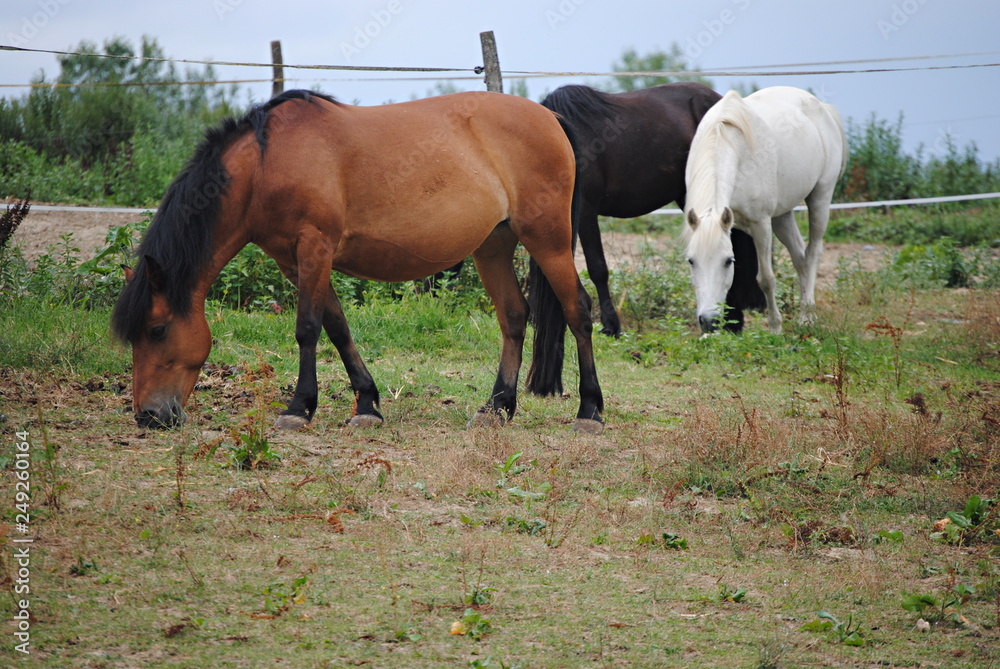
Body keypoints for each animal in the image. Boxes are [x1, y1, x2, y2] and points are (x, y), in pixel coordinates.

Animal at [114, 90, 604, 434]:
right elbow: (337, 326)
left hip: (548, 240)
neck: (268, 163)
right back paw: (497, 407)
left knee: (578, 310)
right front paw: (367, 405)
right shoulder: (296, 261)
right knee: (514, 316)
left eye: (157, 330)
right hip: (494, 246)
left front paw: (298, 409)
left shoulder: (314, 247)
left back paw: (590, 411)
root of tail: (550, 118)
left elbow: (307, 328)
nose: (148, 415)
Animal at [680, 85, 844, 332]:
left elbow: (766, 279)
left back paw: (807, 316)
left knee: (813, 253)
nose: (709, 321)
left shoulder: (761, 225)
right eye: (691, 261)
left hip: (821, 198)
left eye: (727, 261)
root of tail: (821, 107)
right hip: (782, 216)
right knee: (800, 257)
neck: (729, 144)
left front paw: (775, 328)